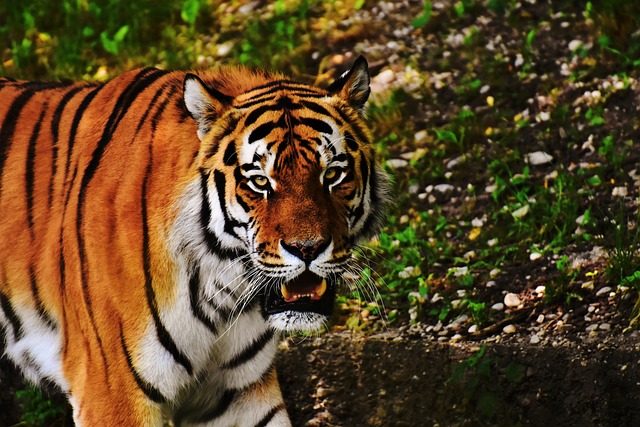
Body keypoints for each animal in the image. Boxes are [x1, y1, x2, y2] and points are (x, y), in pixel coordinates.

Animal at [0, 56, 390, 424]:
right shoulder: (112, 393)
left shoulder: (237, 393)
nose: (307, 248)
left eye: (333, 174)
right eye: (259, 181)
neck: (219, 289)